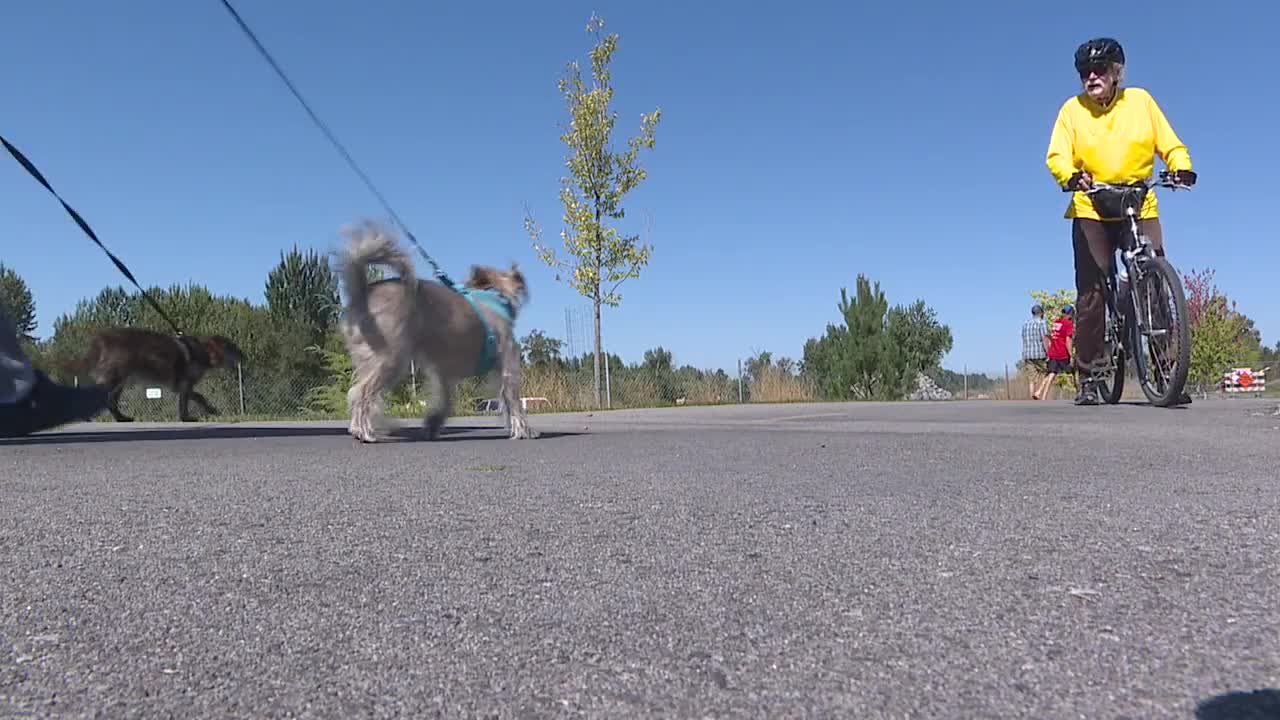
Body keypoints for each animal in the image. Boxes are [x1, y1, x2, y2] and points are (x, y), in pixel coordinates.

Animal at [53, 325, 241, 420]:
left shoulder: (182, 386)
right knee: (105, 399)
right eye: (233, 348)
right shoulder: (185, 384)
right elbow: (192, 400)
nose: (244, 356)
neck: (202, 351)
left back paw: (122, 418)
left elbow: (195, 398)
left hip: (121, 381)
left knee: (111, 401)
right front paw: (190, 417)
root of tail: (102, 341)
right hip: (115, 378)